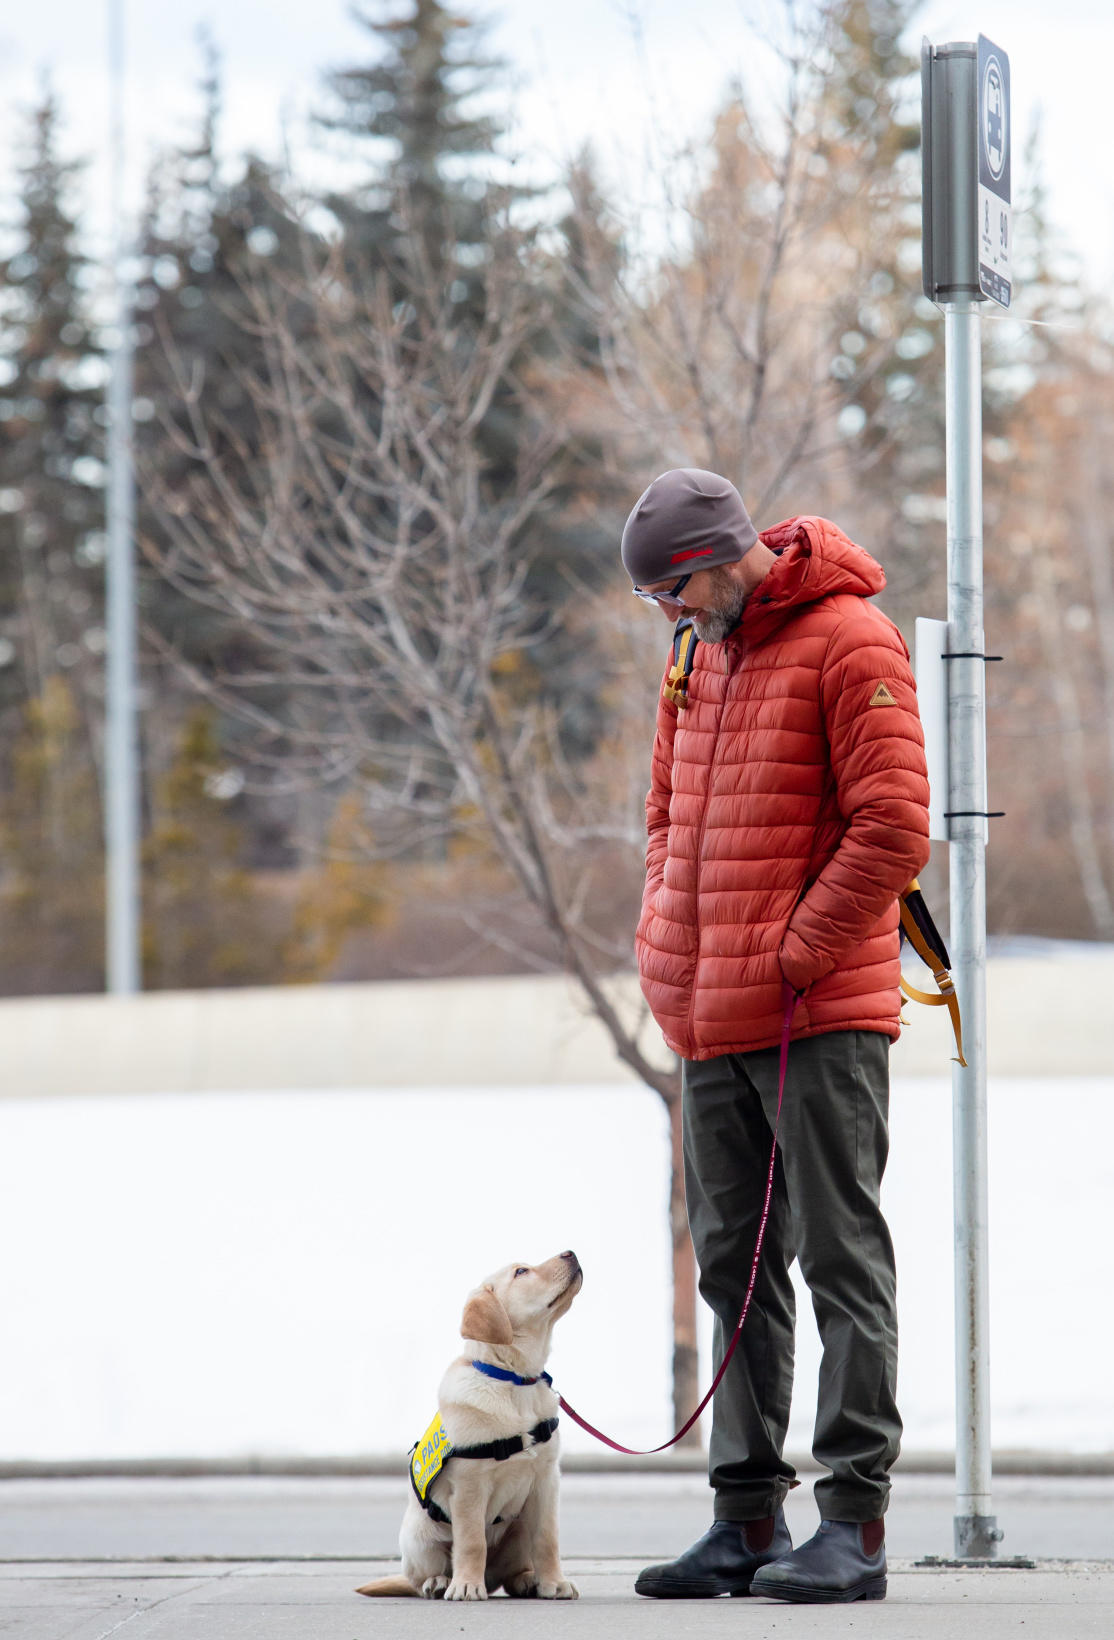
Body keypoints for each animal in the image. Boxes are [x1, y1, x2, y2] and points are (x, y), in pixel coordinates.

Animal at [357, 1246, 584, 1594]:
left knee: (512, 1568)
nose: (570, 1252)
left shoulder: (547, 1480)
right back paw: (440, 1582)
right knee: (420, 1576)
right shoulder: (469, 1487)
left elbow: (547, 1539)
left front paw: (554, 1583)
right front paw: (465, 1586)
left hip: (518, 1528)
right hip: (418, 1537)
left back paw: (527, 1579)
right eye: (521, 1272)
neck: (515, 1380)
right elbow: (472, 1541)